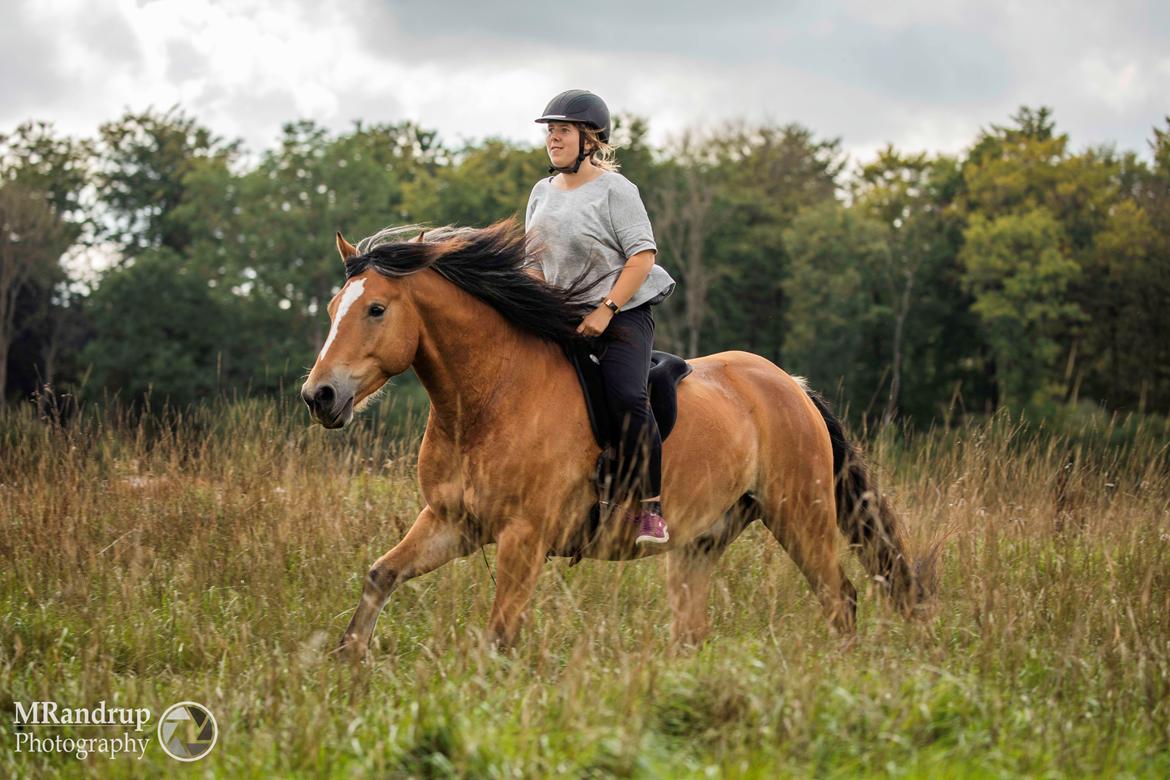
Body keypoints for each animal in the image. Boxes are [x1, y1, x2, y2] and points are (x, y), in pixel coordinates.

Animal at [301, 219, 931, 659]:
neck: (489, 399)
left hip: (800, 515)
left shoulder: (523, 537)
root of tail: (792, 388)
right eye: (332, 307)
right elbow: (380, 576)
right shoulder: (452, 522)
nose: (319, 396)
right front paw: (348, 663)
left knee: (840, 597)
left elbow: (501, 633)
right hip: (703, 541)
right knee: (694, 629)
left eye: (376, 309)